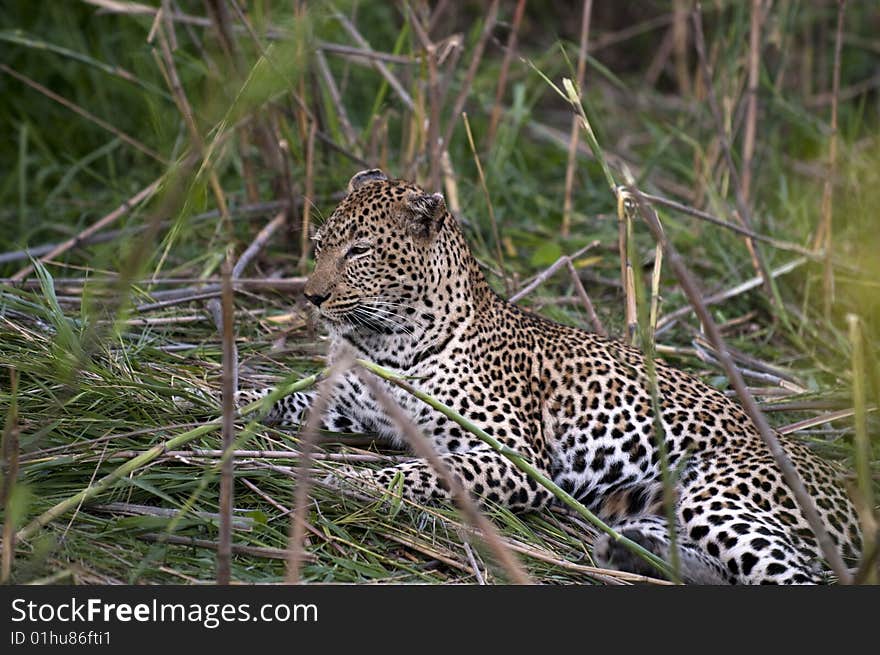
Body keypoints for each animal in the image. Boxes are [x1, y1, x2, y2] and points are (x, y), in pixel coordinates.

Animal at [237, 169, 864, 584]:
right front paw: (227, 403)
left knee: (805, 579)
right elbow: (273, 394)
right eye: (320, 246)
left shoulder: (517, 456)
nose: (311, 297)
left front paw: (349, 479)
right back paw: (630, 553)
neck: (384, 341)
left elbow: (421, 471)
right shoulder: (346, 404)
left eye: (359, 251)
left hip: (721, 496)